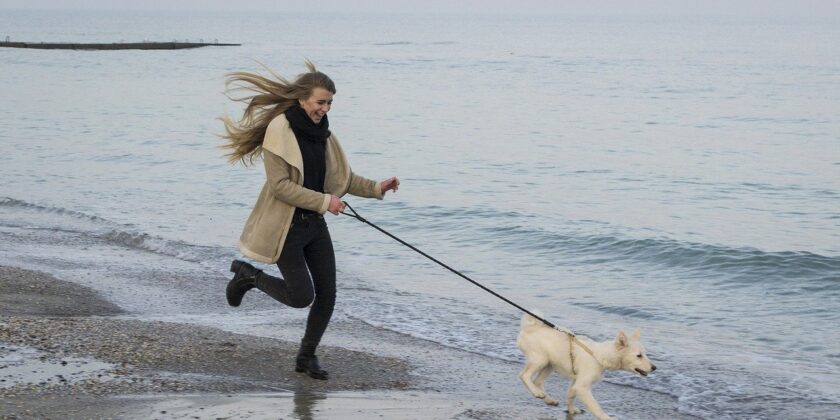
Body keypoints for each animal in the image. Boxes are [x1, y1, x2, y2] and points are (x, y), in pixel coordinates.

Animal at [520, 312, 656, 420]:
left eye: (644, 354)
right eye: (639, 356)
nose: (654, 368)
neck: (599, 356)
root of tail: (530, 327)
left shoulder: (576, 382)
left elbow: (570, 396)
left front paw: (572, 410)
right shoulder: (582, 386)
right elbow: (595, 406)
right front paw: (606, 418)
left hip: (550, 364)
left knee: (537, 381)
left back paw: (547, 399)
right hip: (540, 360)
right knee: (524, 375)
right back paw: (537, 393)